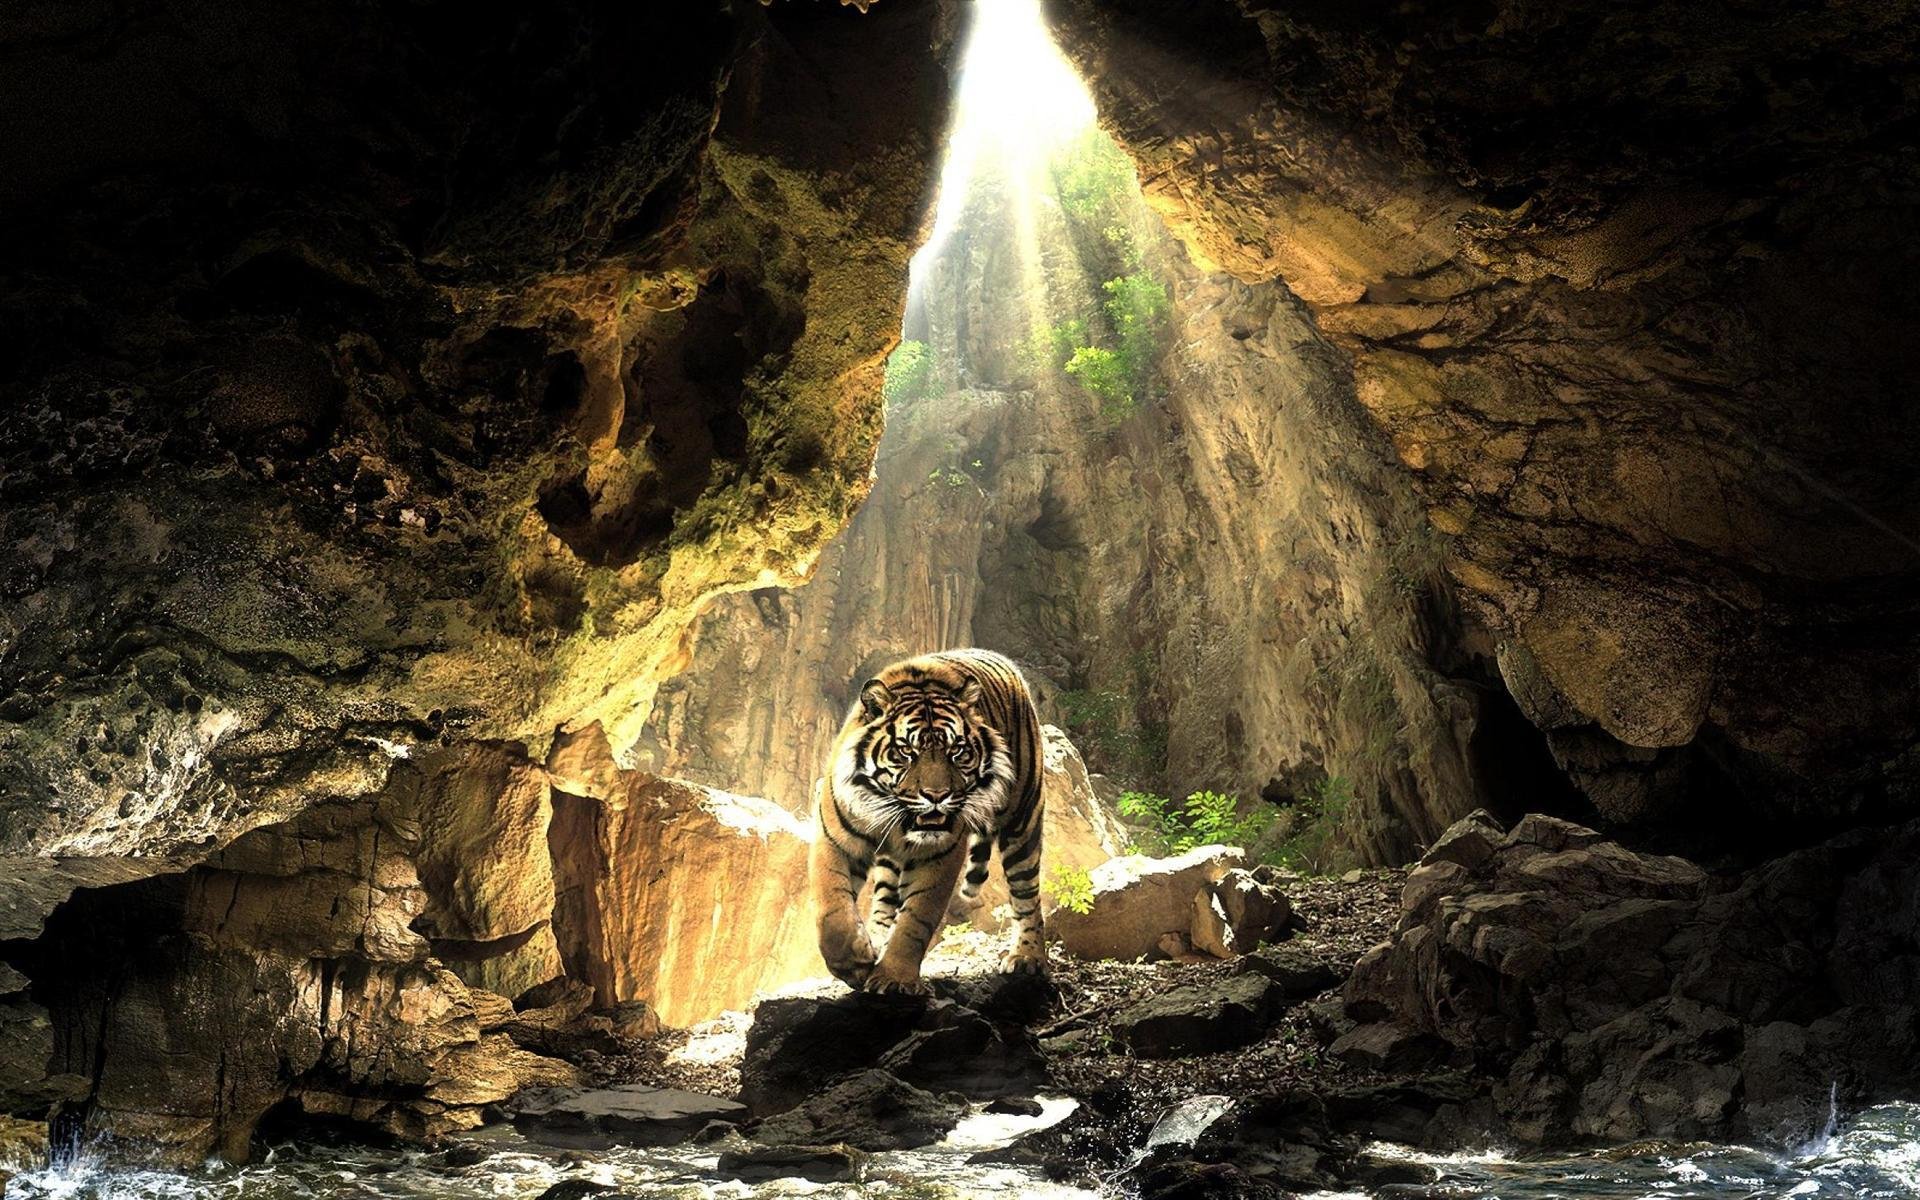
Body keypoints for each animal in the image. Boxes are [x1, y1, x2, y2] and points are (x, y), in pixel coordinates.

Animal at [810, 648, 1047, 994]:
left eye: (957, 751)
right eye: (906, 752)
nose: (937, 795)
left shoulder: (939, 854)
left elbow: (916, 919)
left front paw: (894, 978)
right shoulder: (834, 840)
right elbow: (832, 909)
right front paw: (854, 962)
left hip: (1023, 820)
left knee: (1027, 894)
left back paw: (1028, 957)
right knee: (885, 897)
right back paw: (876, 936)